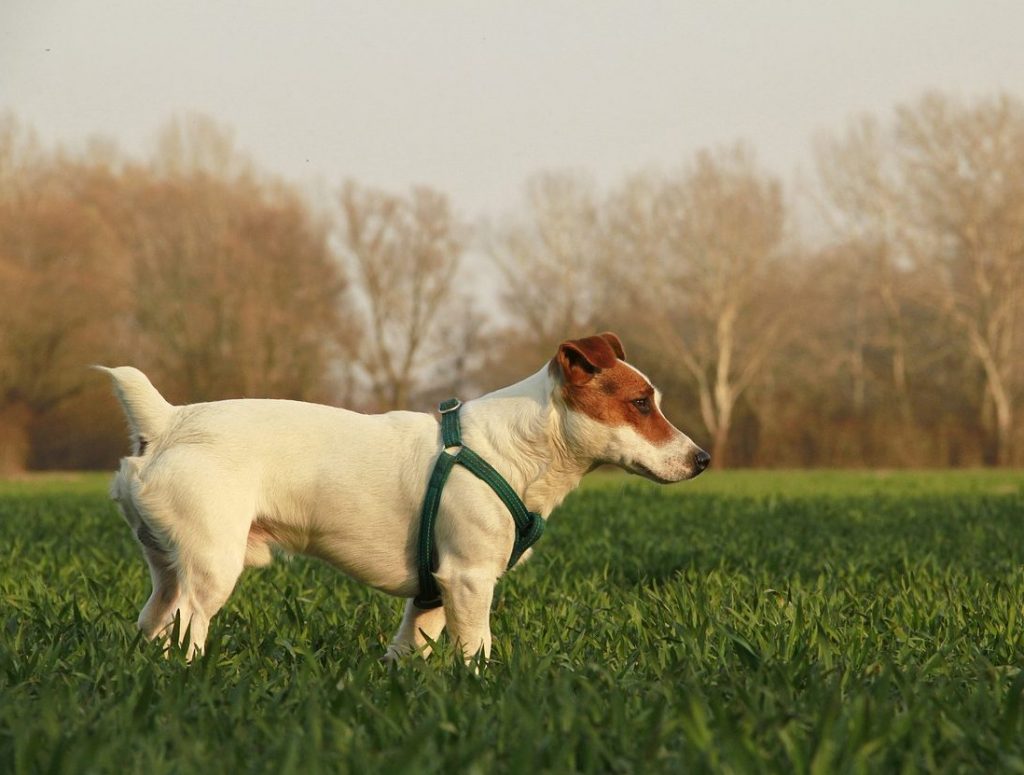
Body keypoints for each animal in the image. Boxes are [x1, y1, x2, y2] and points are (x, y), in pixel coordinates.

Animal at [99, 331, 708, 659]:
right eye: (640, 404)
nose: (702, 458)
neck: (515, 448)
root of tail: (170, 421)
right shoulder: (469, 579)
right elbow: (476, 651)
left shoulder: (432, 593)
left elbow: (408, 649)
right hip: (212, 568)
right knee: (187, 630)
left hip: (168, 568)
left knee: (152, 623)